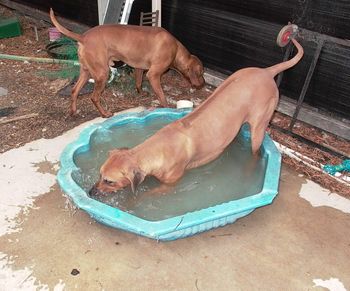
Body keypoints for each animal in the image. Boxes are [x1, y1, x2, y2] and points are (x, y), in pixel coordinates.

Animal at [49, 9, 205, 118]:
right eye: (201, 72)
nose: (203, 84)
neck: (176, 49)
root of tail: (83, 37)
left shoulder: (139, 68)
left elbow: (138, 82)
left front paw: (141, 92)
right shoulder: (153, 75)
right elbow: (162, 96)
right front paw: (166, 109)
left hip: (86, 72)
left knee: (74, 91)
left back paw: (73, 112)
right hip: (102, 73)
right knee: (94, 97)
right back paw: (104, 114)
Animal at [90, 36, 304, 196]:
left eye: (109, 181)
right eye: (99, 174)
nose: (91, 192)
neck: (154, 150)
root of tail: (267, 71)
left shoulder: (170, 185)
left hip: (259, 128)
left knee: (255, 153)